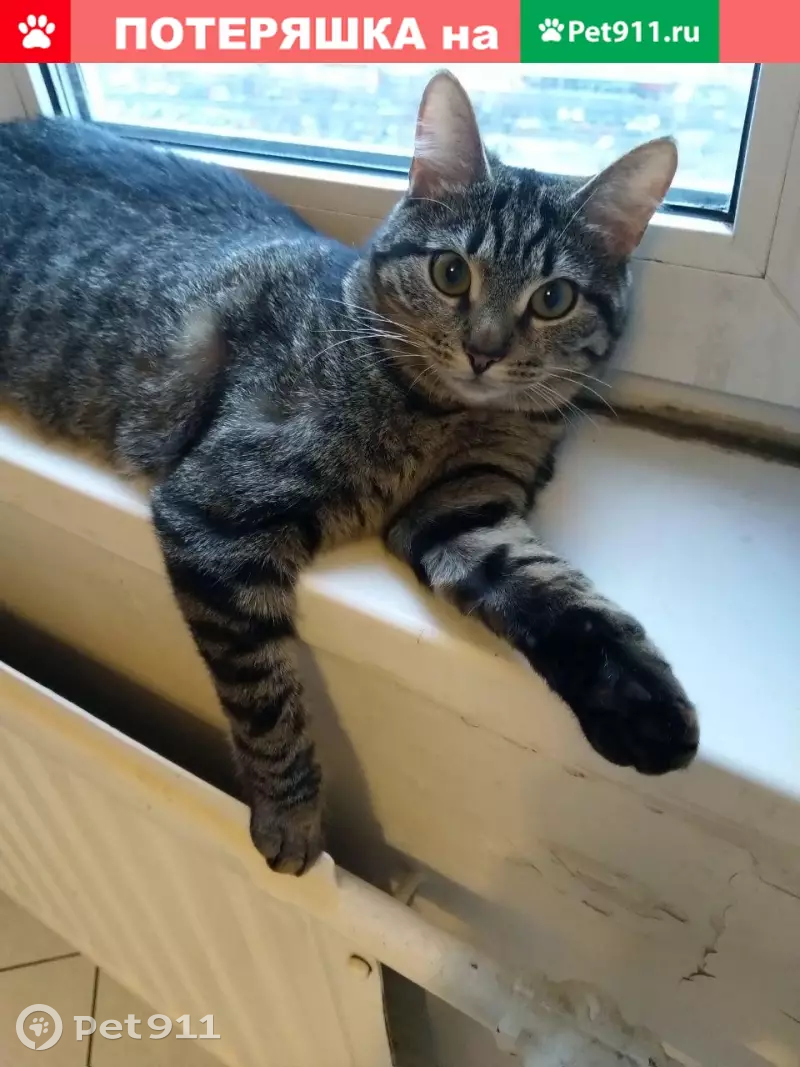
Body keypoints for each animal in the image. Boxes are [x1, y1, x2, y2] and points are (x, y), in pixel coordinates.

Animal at [0, 71, 698, 875]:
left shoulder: (464, 508)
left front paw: (642, 701)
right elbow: (263, 695)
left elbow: (558, 592)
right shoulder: (212, 511)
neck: (440, 414)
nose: (484, 351)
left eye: (553, 298)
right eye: (451, 273)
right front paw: (292, 813)